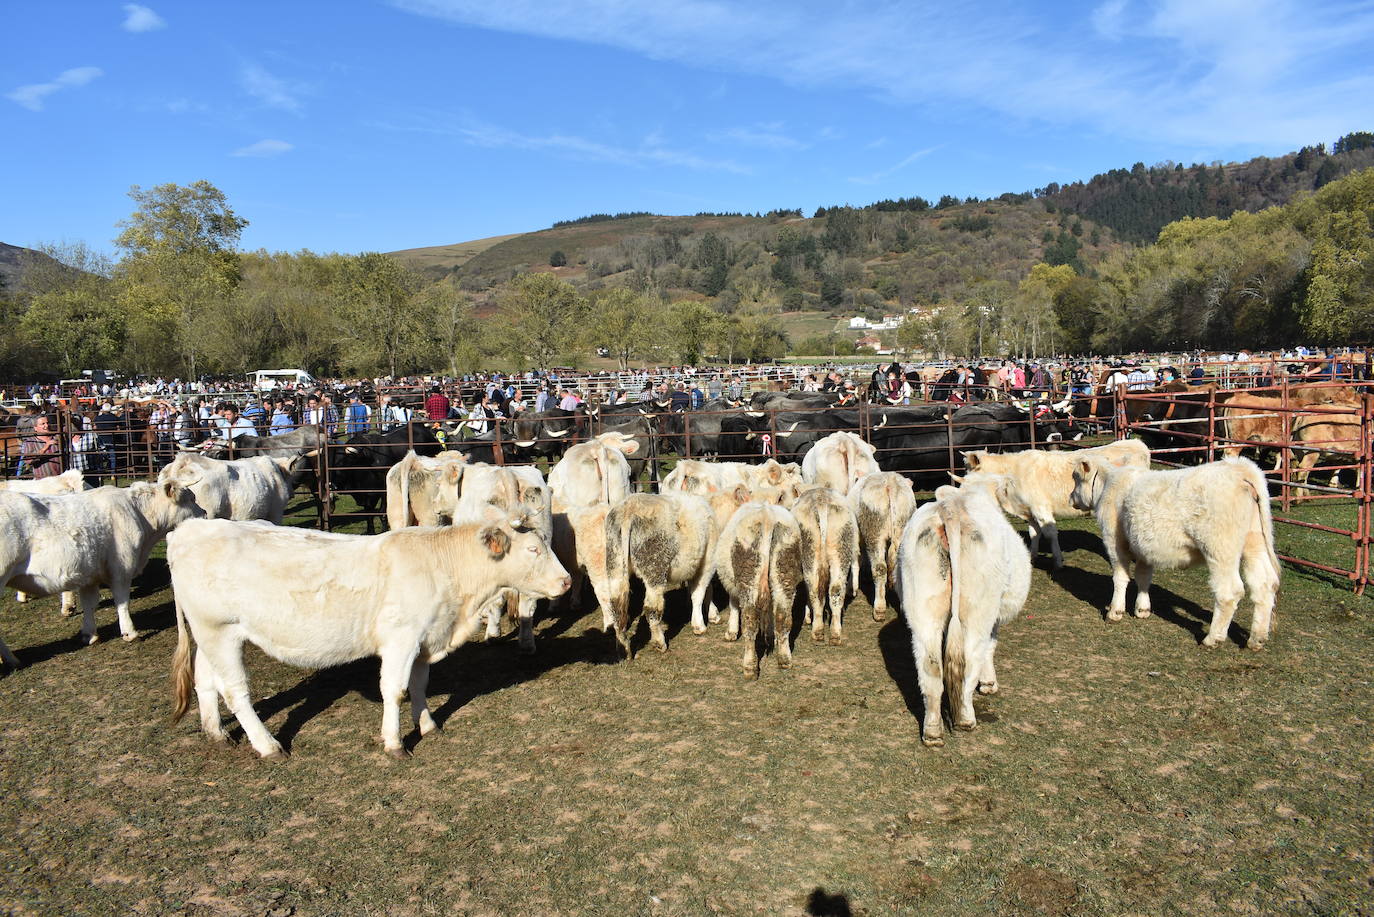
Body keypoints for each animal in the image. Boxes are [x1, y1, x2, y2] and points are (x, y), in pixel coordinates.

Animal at [0, 481, 201, 668]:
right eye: (191, 498)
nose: (204, 513)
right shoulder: (121, 568)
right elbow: (122, 602)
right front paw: (129, 633)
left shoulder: (88, 576)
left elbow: (89, 604)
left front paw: (90, 634)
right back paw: (11, 659)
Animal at [167, 516, 568, 758]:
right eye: (533, 549)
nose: (565, 581)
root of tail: (189, 528)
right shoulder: (401, 639)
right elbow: (395, 689)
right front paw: (394, 743)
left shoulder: (425, 639)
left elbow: (419, 685)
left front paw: (427, 725)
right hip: (219, 630)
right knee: (235, 691)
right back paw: (267, 746)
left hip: (213, 633)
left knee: (206, 680)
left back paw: (216, 732)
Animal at [714, 497, 802, 679]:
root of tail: (767, 515)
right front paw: (770, 636)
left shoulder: (734, 583)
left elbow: (734, 604)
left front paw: (731, 632)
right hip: (784, 570)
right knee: (783, 617)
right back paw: (784, 659)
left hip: (748, 576)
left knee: (750, 620)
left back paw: (749, 667)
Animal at [961, 437, 1154, 566]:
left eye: (970, 471)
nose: (962, 487)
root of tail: (1137, 443)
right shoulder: (1030, 511)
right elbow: (1034, 533)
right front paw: (1032, 556)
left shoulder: (1041, 508)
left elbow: (1050, 533)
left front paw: (1058, 561)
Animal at [1066, 456, 1280, 648]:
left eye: (1076, 478)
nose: (1070, 498)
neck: (1109, 484)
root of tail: (1239, 468)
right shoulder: (1143, 547)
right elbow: (1143, 577)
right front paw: (1142, 609)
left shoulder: (1114, 541)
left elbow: (1120, 577)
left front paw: (1115, 612)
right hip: (1255, 542)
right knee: (1264, 584)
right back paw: (1257, 639)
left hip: (1220, 549)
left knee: (1229, 592)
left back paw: (1212, 639)